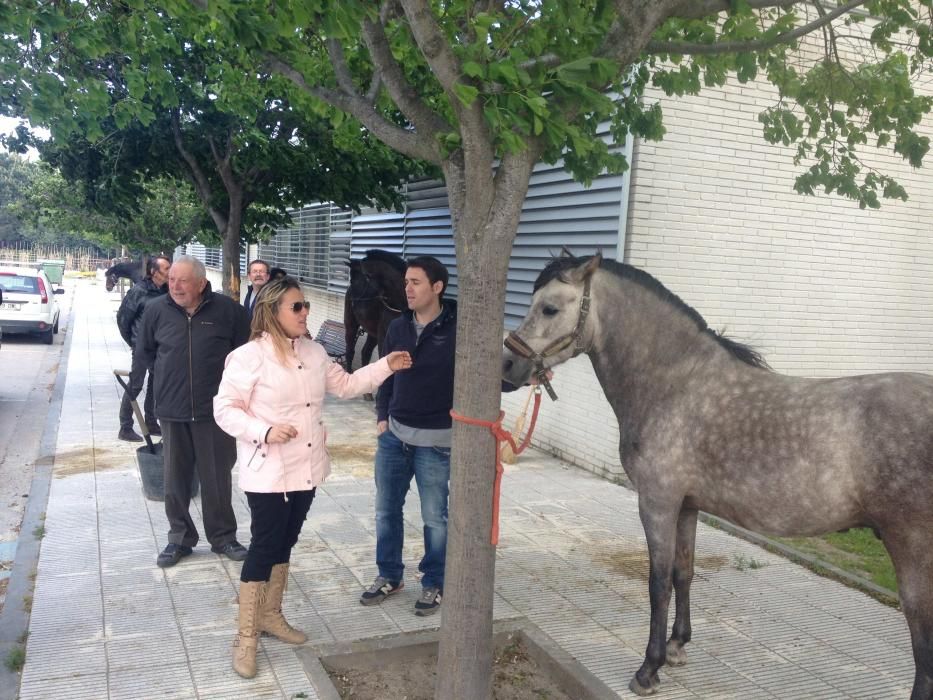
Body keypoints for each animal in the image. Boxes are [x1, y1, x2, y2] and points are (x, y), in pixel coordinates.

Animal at [502, 253, 932, 700]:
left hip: (911, 547)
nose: (509, 366)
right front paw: (677, 647)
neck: (676, 385)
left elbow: (658, 583)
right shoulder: (687, 506)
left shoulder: (657, 503)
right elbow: (684, 573)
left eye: (550, 308)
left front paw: (648, 669)